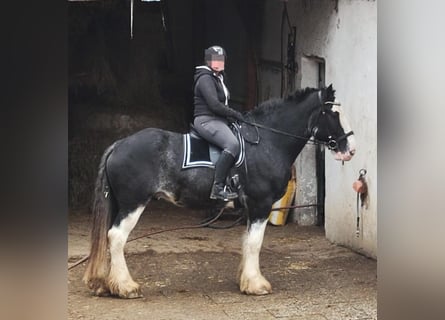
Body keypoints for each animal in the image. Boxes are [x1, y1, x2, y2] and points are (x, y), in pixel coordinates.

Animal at [82, 84, 354, 298]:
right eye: (334, 113)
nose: (350, 150)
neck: (267, 142)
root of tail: (119, 144)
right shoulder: (261, 204)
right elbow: (255, 243)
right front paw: (257, 285)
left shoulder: (250, 207)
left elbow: (246, 241)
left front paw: (245, 280)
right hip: (133, 203)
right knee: (117, 237)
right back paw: (126, 287)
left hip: (120, 203)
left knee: (108, 236)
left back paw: (104, 284)